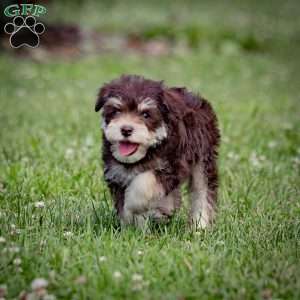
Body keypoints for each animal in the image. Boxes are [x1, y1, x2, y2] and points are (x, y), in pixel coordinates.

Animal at [95, 75, 219, 230]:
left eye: (145, 114)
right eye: (116, 111)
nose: (126, 129)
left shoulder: (171, 166)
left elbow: (142, 184)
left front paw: (133, 206)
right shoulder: (117, 173)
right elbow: (124, 204)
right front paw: (132, 228)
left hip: (203, 159)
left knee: (202, 191)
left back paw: (199, 227)